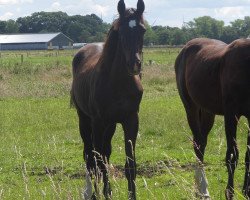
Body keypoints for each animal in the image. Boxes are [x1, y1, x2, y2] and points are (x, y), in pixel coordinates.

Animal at [70, 0, 146, 199]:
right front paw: (99, 193)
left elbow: (130, 165)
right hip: (85, 120)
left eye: (142, 30)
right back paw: (91, 192)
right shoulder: (97, 122)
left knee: (104, 153)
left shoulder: (131, 120)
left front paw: (129, 195)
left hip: (110, 126)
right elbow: (97, 160)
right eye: (121, 31)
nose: (134, 65)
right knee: (90, 156)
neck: (118, 82)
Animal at [175, 38, 250, 200]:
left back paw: (201, 188)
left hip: (207, 112)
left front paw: (247, 191)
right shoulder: (231, 115)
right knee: (198, 144)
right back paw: (202, 189)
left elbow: (248, 155)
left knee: (202, 143)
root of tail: (186, 48)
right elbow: (232, 155)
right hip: (191, 107)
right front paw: (229, 192)